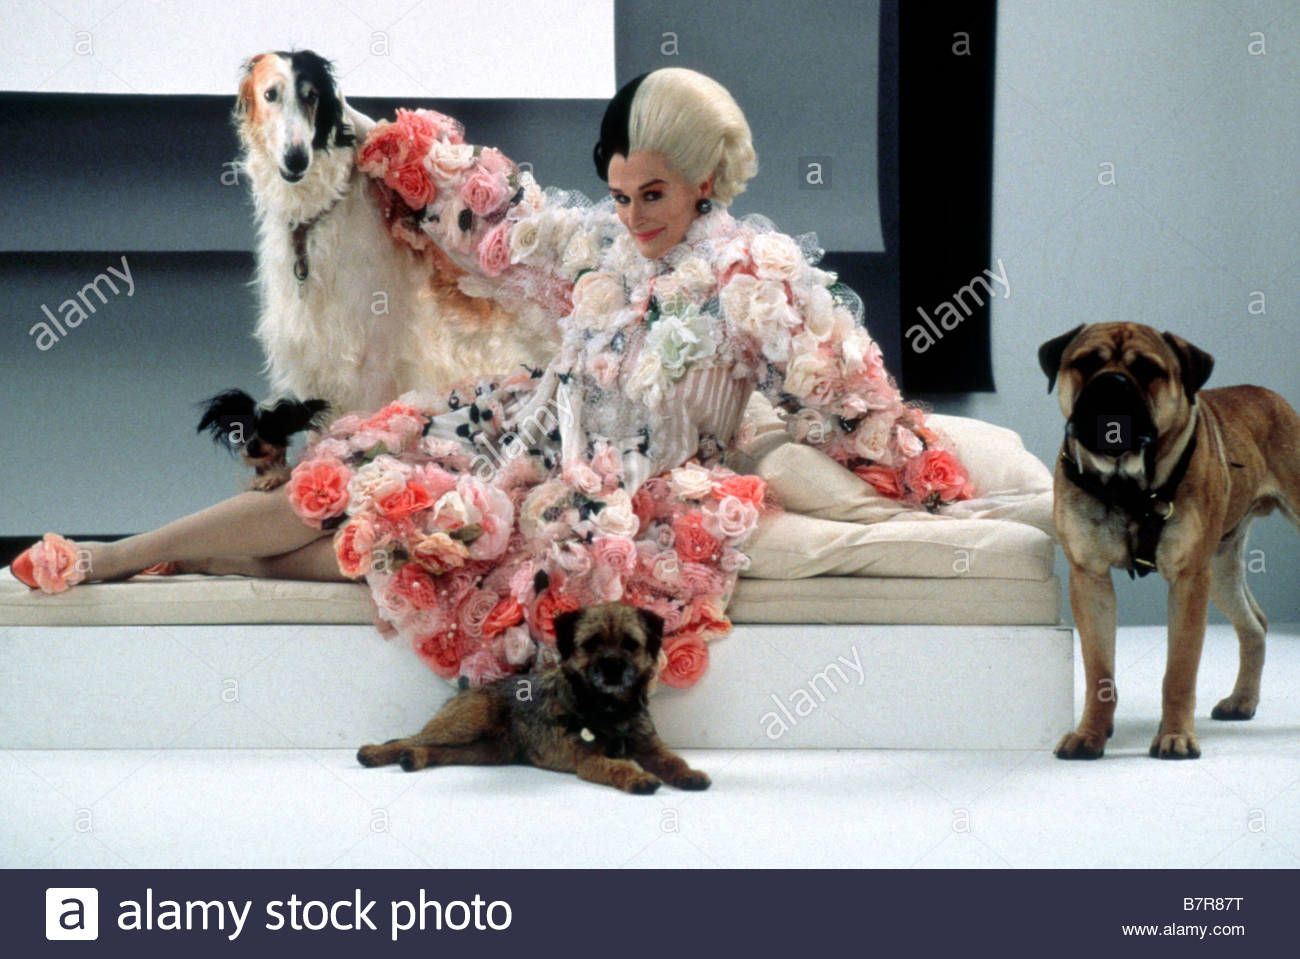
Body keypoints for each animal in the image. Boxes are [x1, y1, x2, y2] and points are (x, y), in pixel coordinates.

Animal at [233, 50, 556, 464]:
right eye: (270, 94)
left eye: (312, 95)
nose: (295, 159)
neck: (318, 218)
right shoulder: (311, 351)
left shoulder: (371, 354)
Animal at [357, 603, 711, 794]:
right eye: (591, 644)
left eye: (630, 645)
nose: (612, 667)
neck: (610, 707)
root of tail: (469, 689)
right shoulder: (588, 758)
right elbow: (618, 766)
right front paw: (637, 777)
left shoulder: (650, 747)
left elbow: (673, 761)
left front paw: (689, 774)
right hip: (466, 722)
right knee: (406, 739)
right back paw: (373, 753)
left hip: (485, 752)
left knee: (436, 751)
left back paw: (414, 759)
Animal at [1039, 322, 1299, 759]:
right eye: (1086, 363)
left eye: (1147, 369)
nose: (1111, 383)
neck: (1125, 483)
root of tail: (1274, 399)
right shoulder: (1090, 578)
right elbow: (1099, 670)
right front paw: (1090, 733)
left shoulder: (1188, 580)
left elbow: (1179, 670)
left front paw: (1175, 736)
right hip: (1221, 567)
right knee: (1255, 625)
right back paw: (1242, 701)